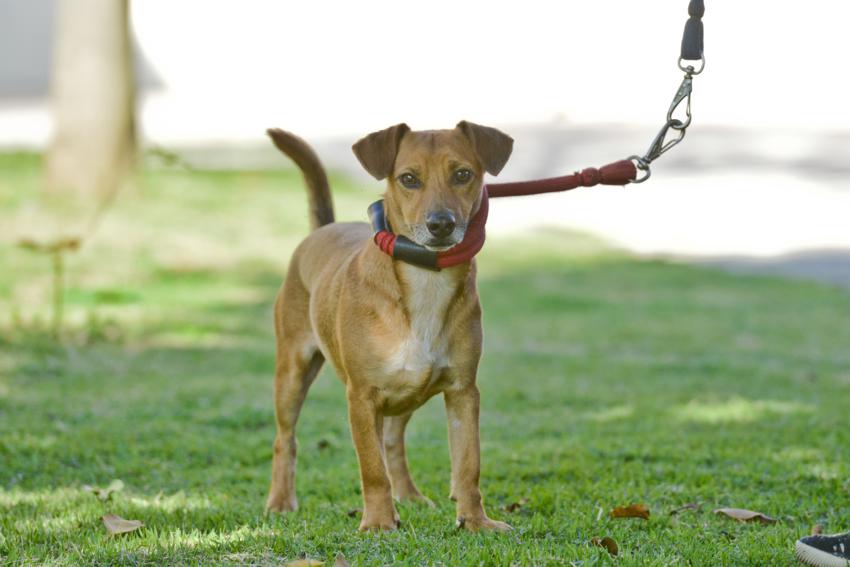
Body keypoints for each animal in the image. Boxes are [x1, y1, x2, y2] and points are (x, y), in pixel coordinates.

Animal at [266, 121, 510, 532]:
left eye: (463, 175)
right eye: (408, 179)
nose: (440, 224)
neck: (426, 280)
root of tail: (323, 229)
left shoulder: (463, 393)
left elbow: (467, 465)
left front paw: (475, 521)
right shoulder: (362, 397)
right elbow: (371, 468)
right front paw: (379, 522)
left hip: (407, 392)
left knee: (394, 442)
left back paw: (408, 495)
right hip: (293, 372)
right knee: (287, 439)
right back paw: (281, 501)